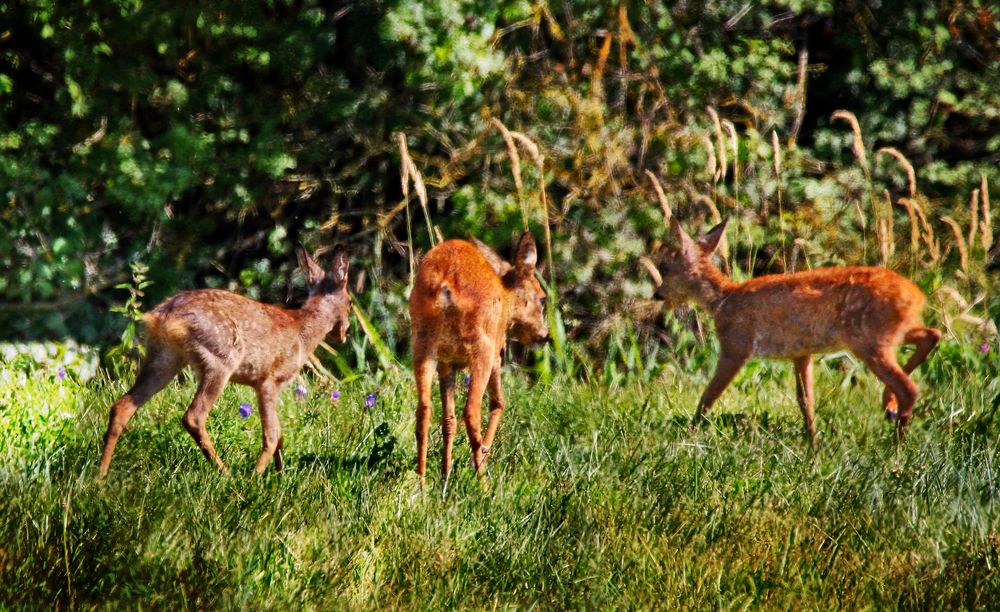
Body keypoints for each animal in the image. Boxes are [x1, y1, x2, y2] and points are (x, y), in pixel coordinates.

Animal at [97, 244, 354, 478]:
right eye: (351, 302)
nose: (344, 334)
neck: (304, 331)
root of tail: (165, 317)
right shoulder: (269, 380)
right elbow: (272, 436)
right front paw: (257, 478)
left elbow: (280, 436)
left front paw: (280, 477)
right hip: (220, 358)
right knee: (193, 416)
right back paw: (227, 475)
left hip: (165, 357)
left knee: (122, 406)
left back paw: (100, 477)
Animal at [410, 232, 552, 486]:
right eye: (542, 298)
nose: (544, 336)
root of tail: (445, 285)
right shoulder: (495, 355)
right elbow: (499, 403)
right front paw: (481, 457)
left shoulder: (448, 364)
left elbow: (448, 420)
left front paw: (446, 474)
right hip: (481, 350)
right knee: (472, 412)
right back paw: (483, 482)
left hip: (422, 346)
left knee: (424, 410)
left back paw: (423, 483)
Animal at [648, 219, 936, 440]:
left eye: (667, 269)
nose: (657, 293)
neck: (723, 300)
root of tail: (917, 296)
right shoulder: (801, 353)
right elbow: (805, 401)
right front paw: (813, 444)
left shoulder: (736, 345)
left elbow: (709, 395)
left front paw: (690, 433)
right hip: (889, 334)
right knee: (932, 336)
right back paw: (890, 406)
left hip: (869, 340)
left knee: (909, 387)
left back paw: (896, 442)